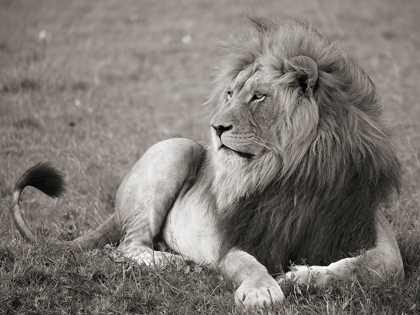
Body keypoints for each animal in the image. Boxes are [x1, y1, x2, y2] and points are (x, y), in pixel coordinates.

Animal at [9, 17, 404, 308]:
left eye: (258, 97)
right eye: (229, 94)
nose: (216, 127)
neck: (292, 171)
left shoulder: (361, 223)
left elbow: (378, 266)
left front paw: (302, 276)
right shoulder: (237, 239)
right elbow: (247, 263)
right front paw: (262, 290)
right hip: (177, 148)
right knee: (124, 246)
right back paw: (175, 262)